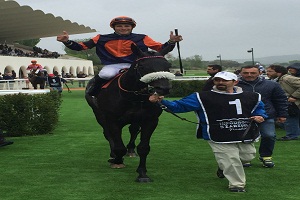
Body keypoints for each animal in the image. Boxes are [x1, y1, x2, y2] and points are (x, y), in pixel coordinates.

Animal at [85, 43, 173, 183]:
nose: (163, 88)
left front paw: (142, 173)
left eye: (167, 65)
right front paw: (117, 160)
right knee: (108, 134)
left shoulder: (150, 120)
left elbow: (143, 148)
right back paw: (114, 154)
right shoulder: (112, 120)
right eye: (142, 66)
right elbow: (119, 146)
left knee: (133, 130)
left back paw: (131, 150)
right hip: (99, 115)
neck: (133, 96)